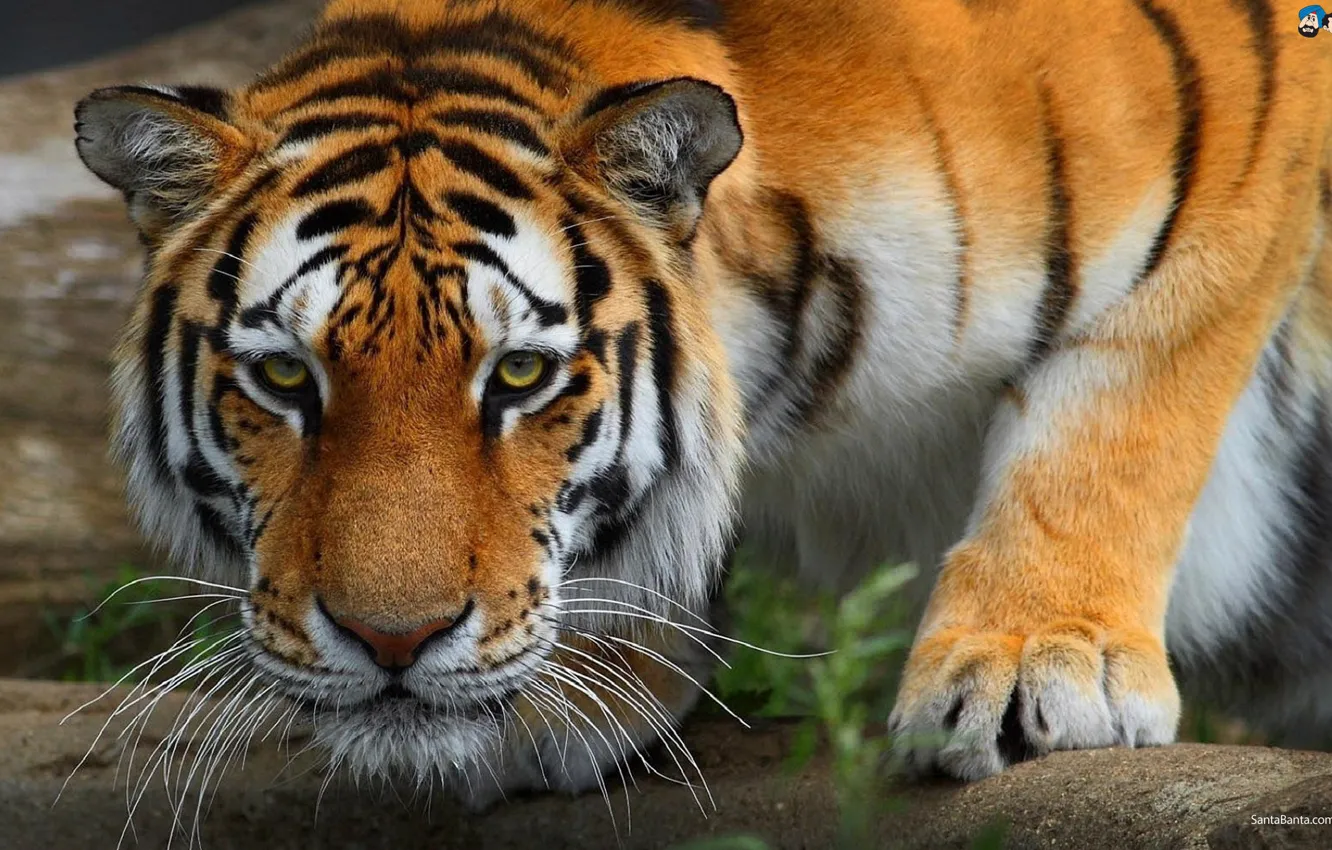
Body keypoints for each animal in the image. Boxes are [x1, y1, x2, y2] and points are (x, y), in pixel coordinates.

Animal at [72, 0, 1332, 803]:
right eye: (286, 376)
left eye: (518, 374)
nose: (393, 641)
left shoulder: (1233, 142)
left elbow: (1114, 420)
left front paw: (1036, 666)